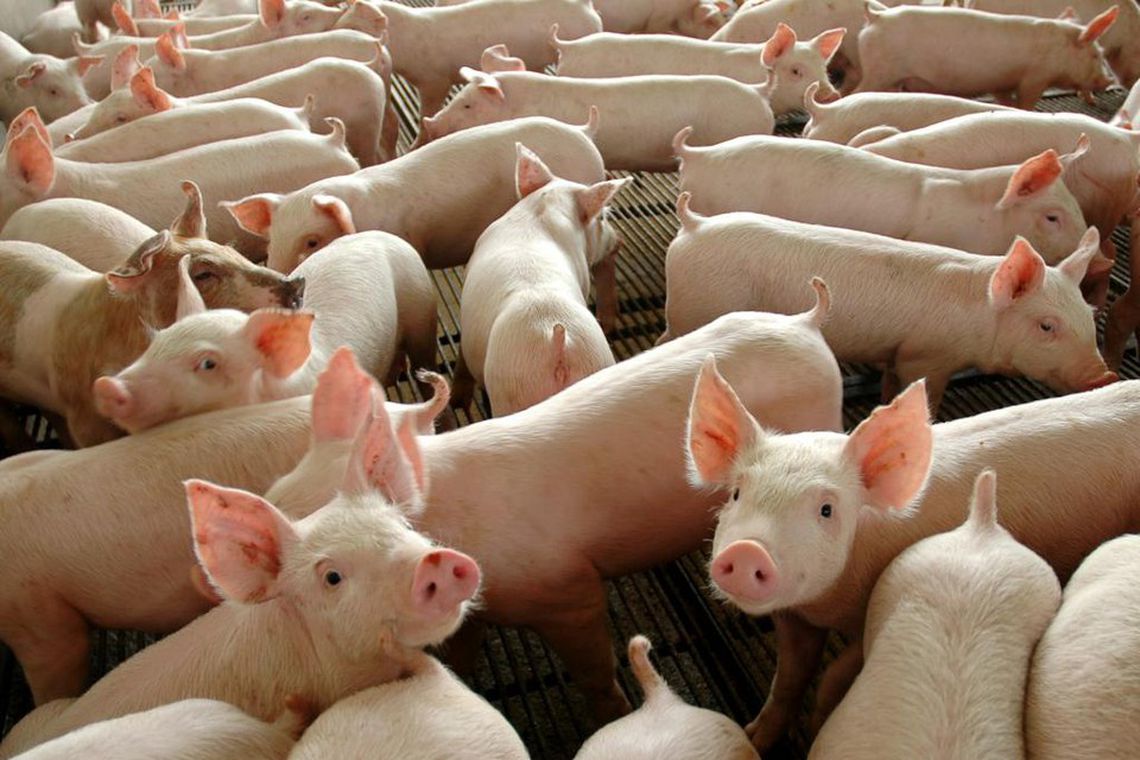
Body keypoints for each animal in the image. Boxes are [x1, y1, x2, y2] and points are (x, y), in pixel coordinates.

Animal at [454, 144, 625, 416]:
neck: (538, 218)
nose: (618, 241)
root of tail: (557, 342)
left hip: (513, 389)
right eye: (601, 218)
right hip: (595, 360)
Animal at [663, 195, 1113, 410]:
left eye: (1089, 317)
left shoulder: (898, 353)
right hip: (694, 307)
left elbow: (889, 388)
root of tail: (695, 224)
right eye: (1047, 326)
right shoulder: (927, 356)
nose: (1105, 376)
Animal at [853, 4, 1119, 109]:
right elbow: (1027, 102)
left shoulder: (1001, 84)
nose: (1108, 81)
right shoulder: (1035, 77)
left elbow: (1006, 101)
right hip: (879, 73)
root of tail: (877, 17)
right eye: (1096, 54)